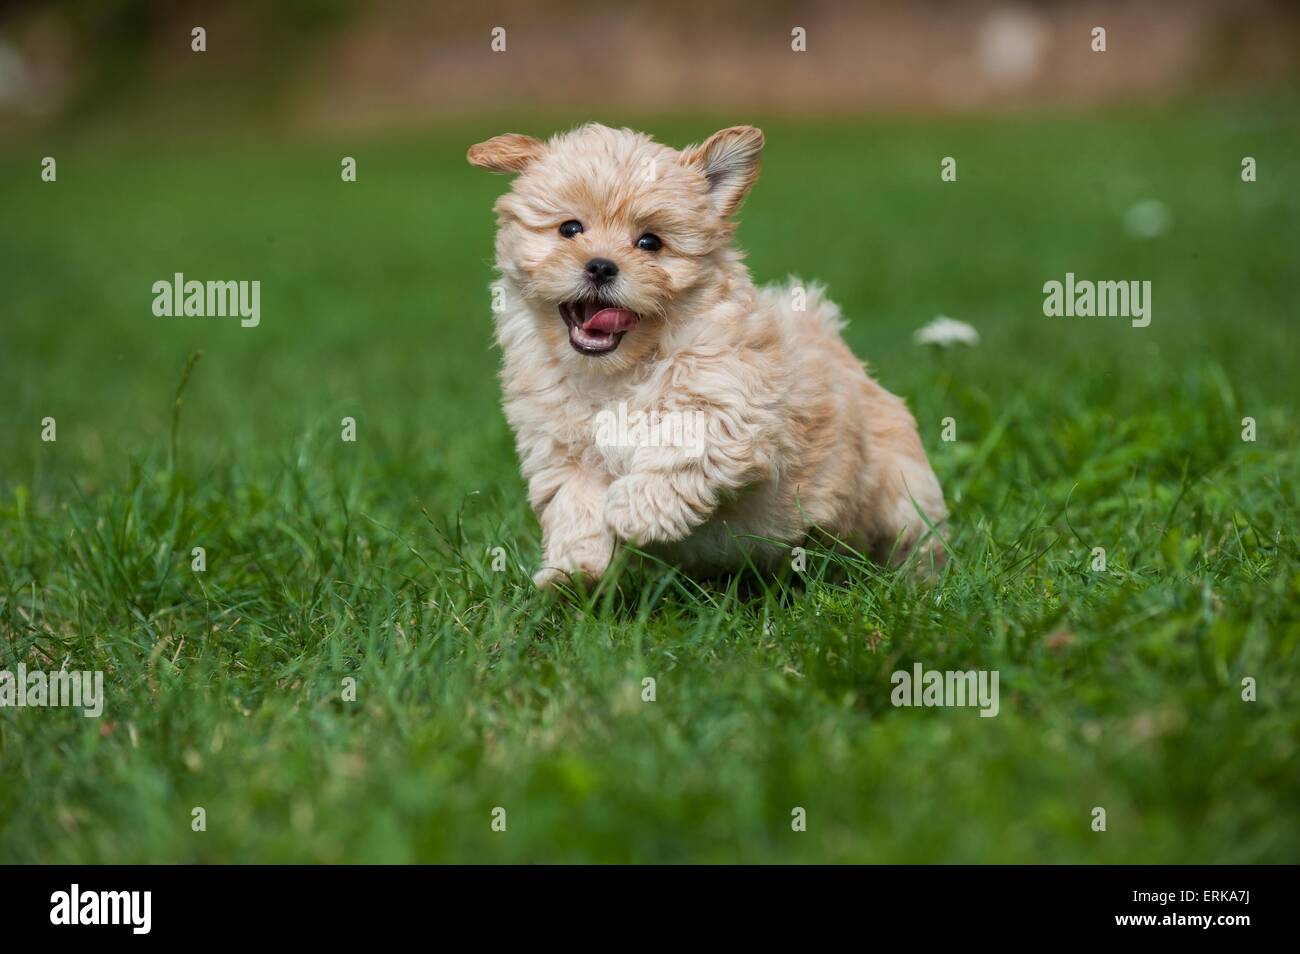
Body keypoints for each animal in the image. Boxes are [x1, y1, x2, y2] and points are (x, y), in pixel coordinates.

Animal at [467, 123, 946, 587]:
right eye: (569, 229)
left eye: (650, 242)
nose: (601, 266)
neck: (621, 370)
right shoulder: (559, 447)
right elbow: (575, 502)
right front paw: (572, 573)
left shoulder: (733, 405)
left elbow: (684, 440)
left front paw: (636, 509)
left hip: (901, 485)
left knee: (914, 535)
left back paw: (918, 580)